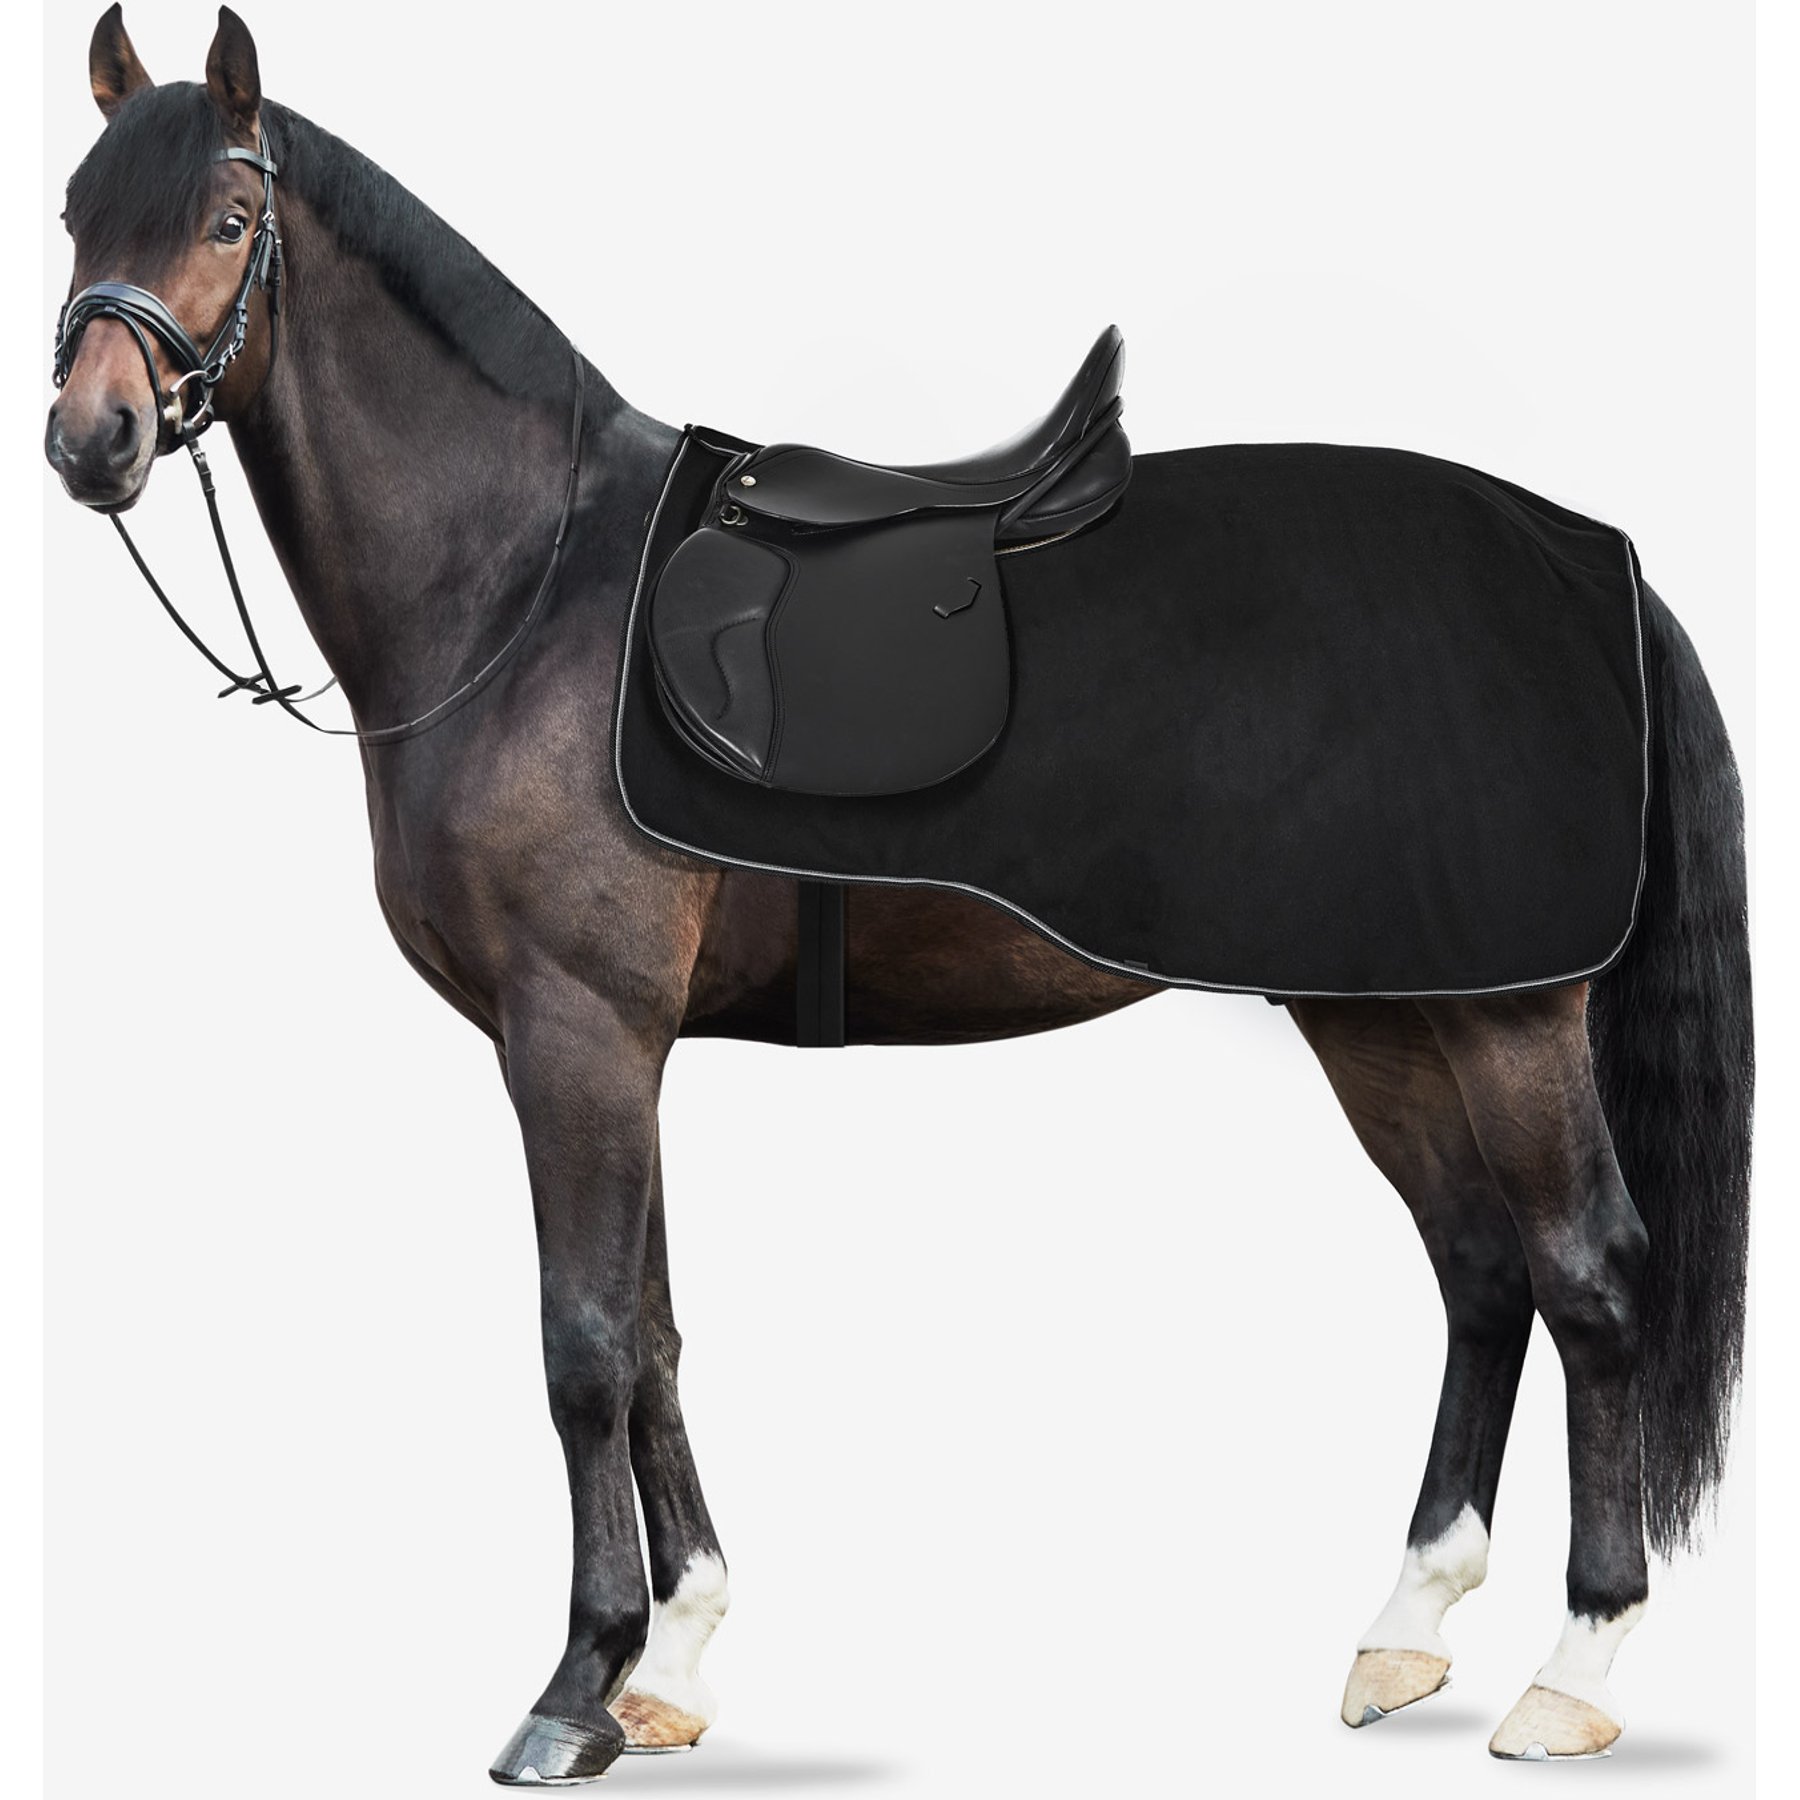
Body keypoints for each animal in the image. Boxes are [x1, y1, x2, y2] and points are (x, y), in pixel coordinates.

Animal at [46, 7, 1751, 1784]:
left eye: (226, 222)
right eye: (73, 216)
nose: (91, 439)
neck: (525, 583)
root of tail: (1596, 560)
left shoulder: (574, 1032)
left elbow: (583, 1345)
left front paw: (576, 1684)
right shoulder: (620, 1046)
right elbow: (655, 1332)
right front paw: (675, 1660)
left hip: (1507, 1019)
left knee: (1592, 1278)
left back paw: (1578, 1666)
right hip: (1383, 1012)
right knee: (1481, 1271)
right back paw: (1407, 1630)